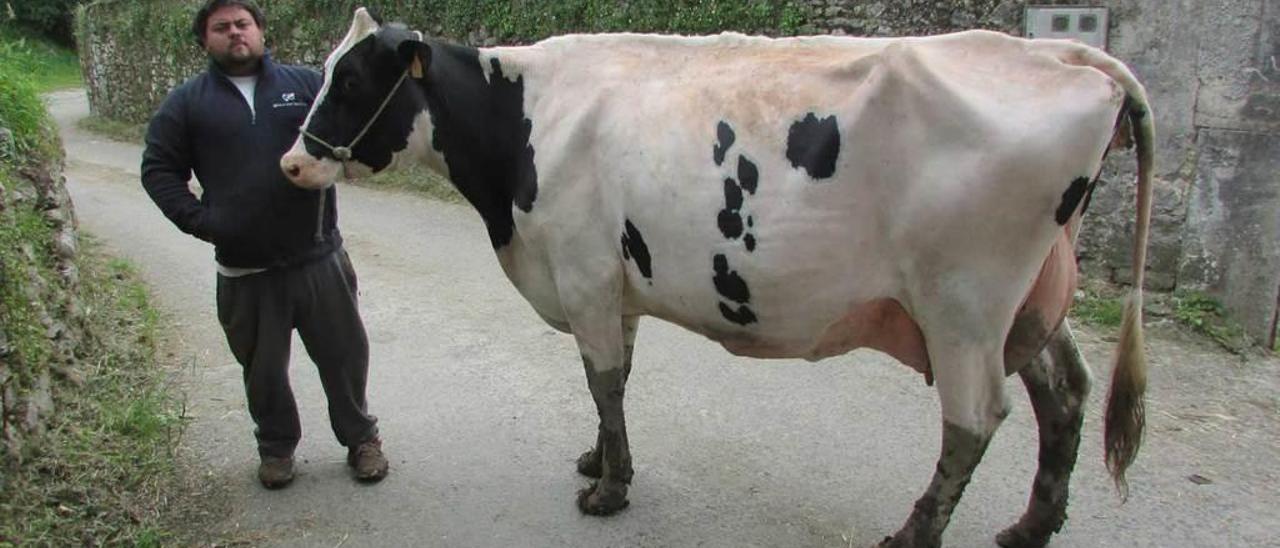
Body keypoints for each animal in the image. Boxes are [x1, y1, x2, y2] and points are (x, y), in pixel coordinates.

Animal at [285, 9, 1157, 548]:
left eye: (352, 82)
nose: (292, 162)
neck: (525, 129)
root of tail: (1061, 54)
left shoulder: (583, 272)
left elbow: (603, 380)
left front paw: (609, 492)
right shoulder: (612, 282)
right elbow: (614, 383)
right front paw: (599, 460)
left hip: (963, 306)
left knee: (975, 419)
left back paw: (915, 533)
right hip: (1027, 304)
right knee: (1064, 393)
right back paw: (1031, 526)